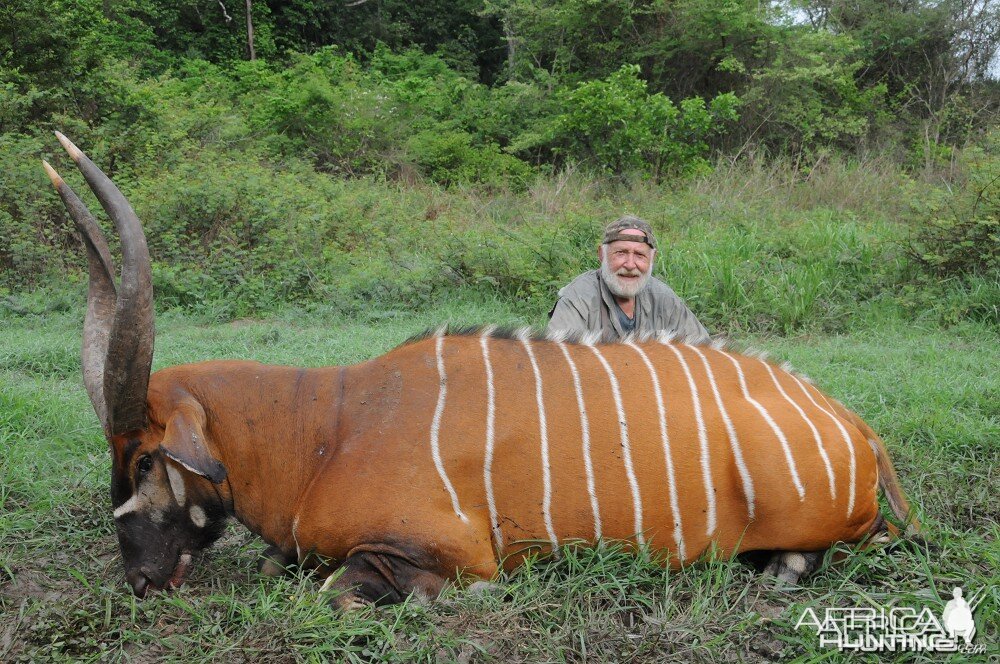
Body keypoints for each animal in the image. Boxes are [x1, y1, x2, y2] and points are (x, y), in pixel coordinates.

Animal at [43, 134, 916, 608]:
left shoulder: (440, 555)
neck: (325, 426)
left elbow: (342, 592)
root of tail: (853, 424)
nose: (140, 580)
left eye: (145, 459)